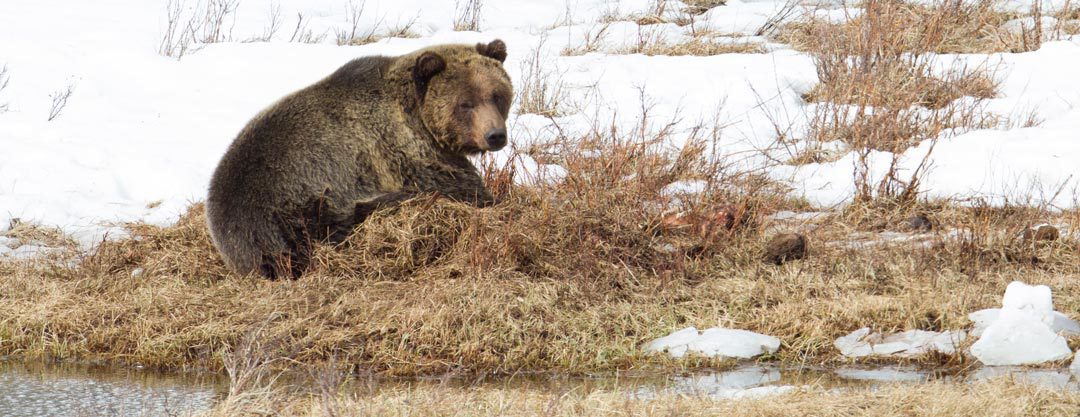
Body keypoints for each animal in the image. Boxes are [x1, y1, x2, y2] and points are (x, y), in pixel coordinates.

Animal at [210, 39, 514, 280]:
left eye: (496, 95)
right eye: (465, 104)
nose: (495, 135)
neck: (418, 118)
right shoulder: (406, 154)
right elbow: (460, 186)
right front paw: (490, 199)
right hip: (298, 205)